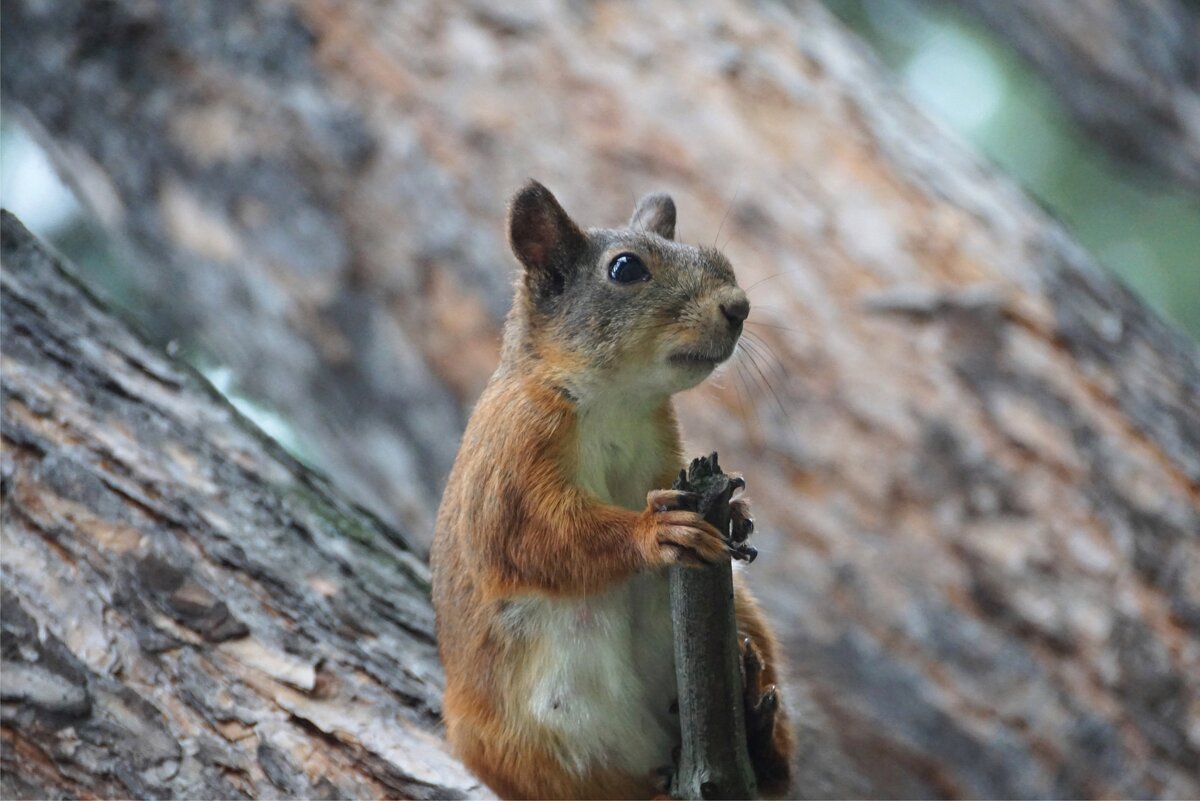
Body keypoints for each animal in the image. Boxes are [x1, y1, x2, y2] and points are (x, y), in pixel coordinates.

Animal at [429, 181, 787, 801]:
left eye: (719, 260)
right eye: (625, 269)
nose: (739, 307)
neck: (619, 402)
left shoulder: (668, 454)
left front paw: (739, 510)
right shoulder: (510, 459)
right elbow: (537, 539)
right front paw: (657, 532)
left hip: (749, 622)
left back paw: (759, 729)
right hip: (517, 753)